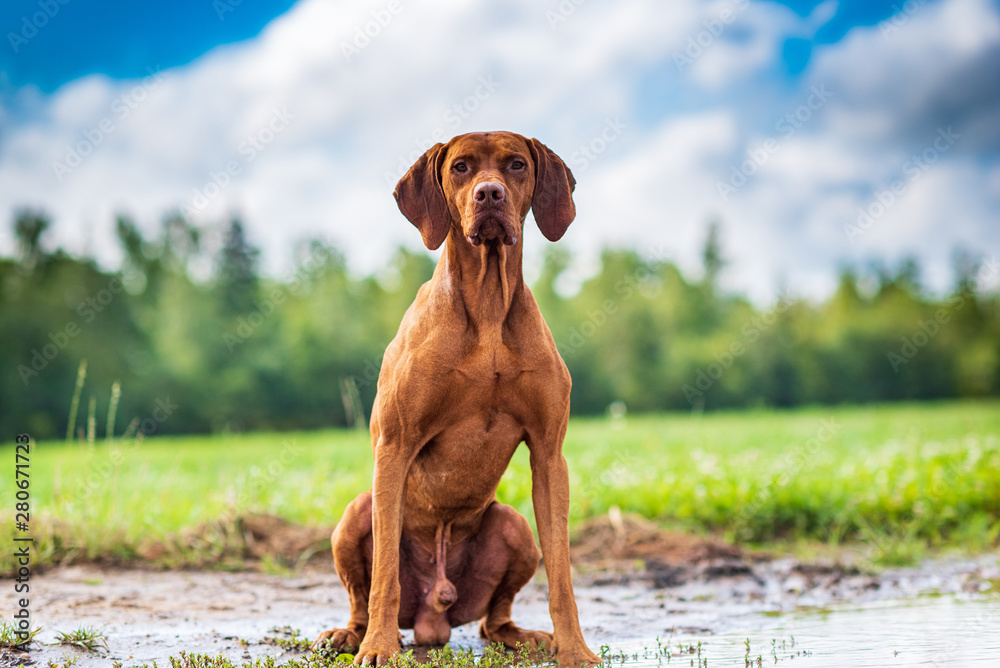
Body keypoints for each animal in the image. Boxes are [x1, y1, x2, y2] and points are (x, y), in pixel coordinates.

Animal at [312, 129, 596, 664]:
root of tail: (435, 612)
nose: (490, 194)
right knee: (363, 593)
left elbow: (562, 574)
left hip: (514, 526)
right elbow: (384, 577)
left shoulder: (550, 454)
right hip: (356, 513)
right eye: (461, 167)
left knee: (492, 619)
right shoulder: (394, 446)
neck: (487, 306)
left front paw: (575, 648)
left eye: (516, 164)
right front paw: (379, 648)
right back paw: (351, 635)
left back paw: (522, 635)